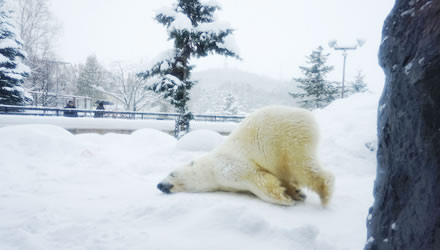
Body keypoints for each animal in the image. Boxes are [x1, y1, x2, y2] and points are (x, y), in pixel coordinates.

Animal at [157, 105, 334, 205]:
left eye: (171, 174)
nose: (159, 185)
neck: (210, 169)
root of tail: (306, 114)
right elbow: (275, 179)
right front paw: (295, 193)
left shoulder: (228, 166)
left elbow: (256, 178)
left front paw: (284, 199)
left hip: (287, 139)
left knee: (300, 166)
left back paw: (325, 193)